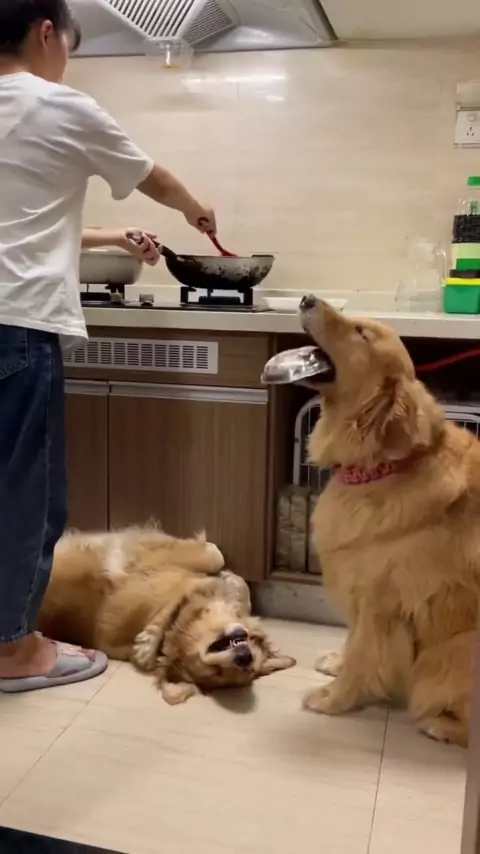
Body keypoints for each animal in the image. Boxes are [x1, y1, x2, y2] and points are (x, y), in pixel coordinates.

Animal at [299, 295, 480, 746]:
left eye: (361, 333)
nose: (307, 299)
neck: (380, 467)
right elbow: (352, 644)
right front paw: (336, 662)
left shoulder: (382, 603)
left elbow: (363, 653)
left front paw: (333, 698)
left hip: (449, 655)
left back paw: (438, 725)